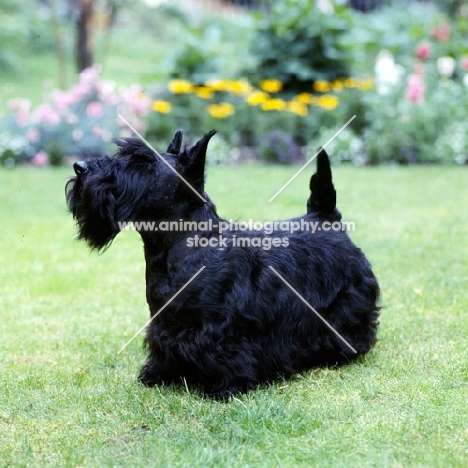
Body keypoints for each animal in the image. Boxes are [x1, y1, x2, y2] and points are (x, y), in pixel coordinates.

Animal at [66, 131, 380, 398]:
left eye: (144, 162)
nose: (80, 167)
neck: (180, 248)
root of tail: (325, 217)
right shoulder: (163, 326)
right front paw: (157, 374)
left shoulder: (222, 330)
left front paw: (226, 386)